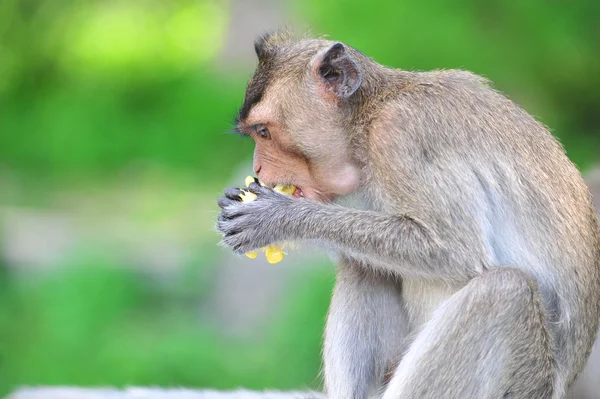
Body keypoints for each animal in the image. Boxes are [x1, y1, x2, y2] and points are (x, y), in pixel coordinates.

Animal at [216, 32, 600, 399]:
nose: (258, 168)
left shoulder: (402, 136)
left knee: (506, 291)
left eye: (264, 132)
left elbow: (454, 251)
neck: (372, 114)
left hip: (528, 382)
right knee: (365, 264)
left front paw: (278, 218)